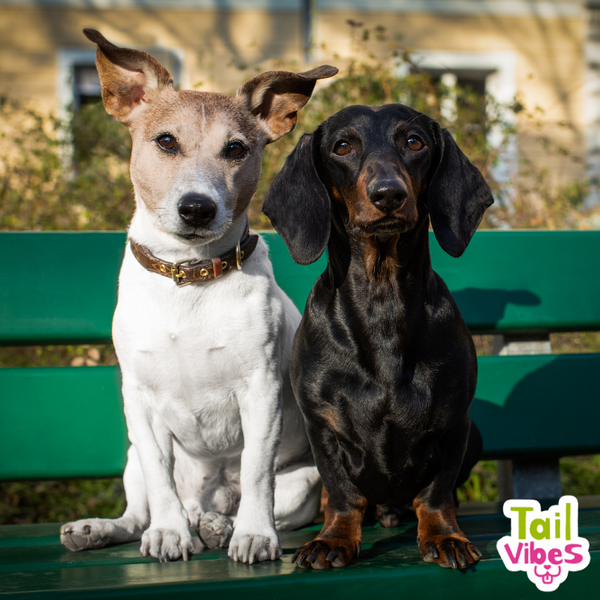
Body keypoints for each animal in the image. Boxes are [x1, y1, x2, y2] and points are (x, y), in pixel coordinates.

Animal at [61, 29, 338, 564]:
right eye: (166, 141)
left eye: (236, 149)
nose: (197, 208)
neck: (188, 278)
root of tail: (206, 496)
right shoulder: (139, 402)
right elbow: (159, 476)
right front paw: (169, 533)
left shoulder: (261, 392)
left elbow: (255, 471)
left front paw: (254, 535)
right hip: (132, 461)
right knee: (138, 512)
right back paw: (105, 528)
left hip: (305, 483)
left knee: (247, 499)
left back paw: (220, 525)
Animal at [262, 104, 492, 572]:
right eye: (342, 146)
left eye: (415, 142)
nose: (388, 194)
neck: (381, 300)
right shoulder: (322, 427)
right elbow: (343, 494)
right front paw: (333, 538)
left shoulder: (455, 422)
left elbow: (436, 493)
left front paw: (444, 535)